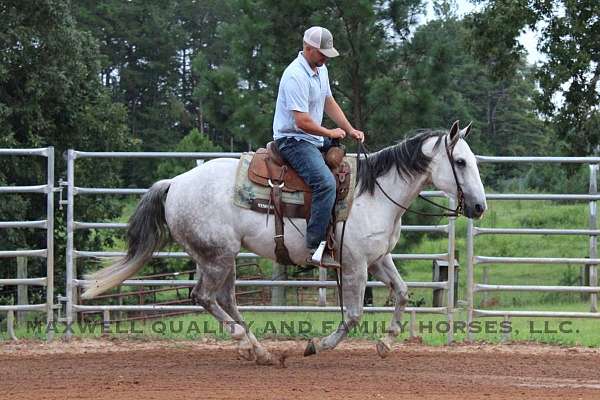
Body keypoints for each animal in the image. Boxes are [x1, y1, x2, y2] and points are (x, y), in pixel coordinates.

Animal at [79, 120, 486, 364]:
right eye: (460, 162)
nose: (480, 207)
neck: (374, 193)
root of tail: (175, 183)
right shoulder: (355, 264)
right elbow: (354, 314)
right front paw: (316, 345)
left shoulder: (378, 258)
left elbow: (401, 293)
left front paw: (387, 342)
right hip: (217, 255)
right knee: (204, 297)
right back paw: (246, 343)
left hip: (222, 257)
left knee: (225, 299)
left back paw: (259, 350)